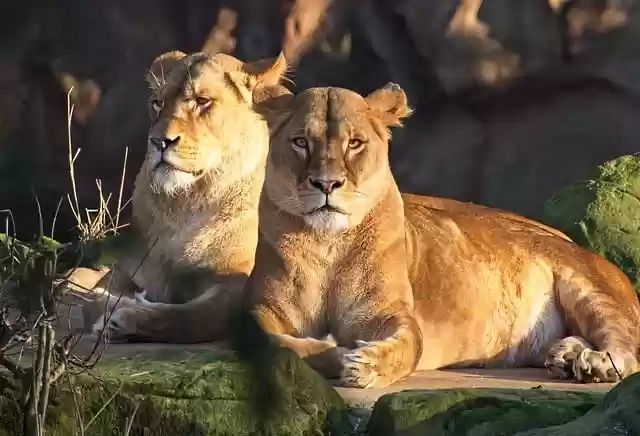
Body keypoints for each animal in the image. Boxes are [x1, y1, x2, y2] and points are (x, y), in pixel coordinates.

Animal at [89, 50, 288, 343]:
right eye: (158, 103)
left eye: (202, 101)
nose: (159, 141)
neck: (187, 205)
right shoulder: (133, 270)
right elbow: (93, 295)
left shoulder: (240, 282)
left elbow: (191, 316)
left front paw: (125, 318)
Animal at [241, 82, 640, 389]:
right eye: (300, 142)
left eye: (354, 143)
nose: (326, 184)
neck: (327, 245)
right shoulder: (261, 311)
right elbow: (275, 343)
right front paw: (338, 353)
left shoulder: (391, 314)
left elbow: (407, 347)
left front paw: (363, 364)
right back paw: (566, 355)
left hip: (590, 290)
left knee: (627, 345)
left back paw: (595, 364)